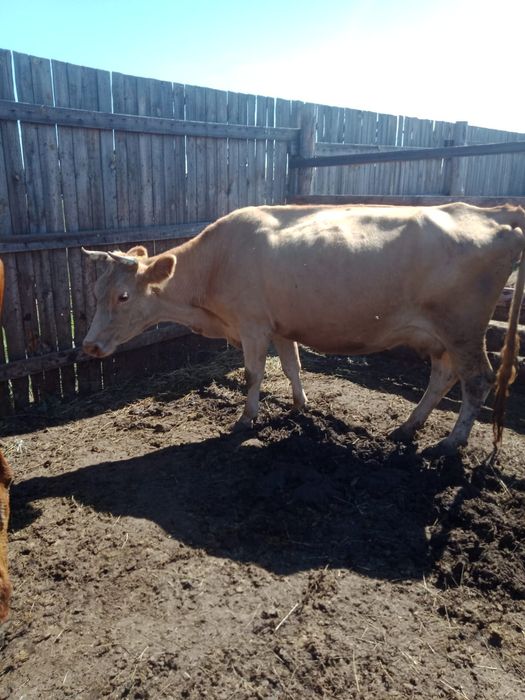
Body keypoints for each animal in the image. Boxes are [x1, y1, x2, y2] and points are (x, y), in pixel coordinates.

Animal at [82, 203, 525, 456]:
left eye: (123, 296)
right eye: (95, 291)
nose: (88, 346)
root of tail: (498, 211)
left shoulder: (253, 325)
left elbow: (253, 375)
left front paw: (246, 419)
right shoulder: (280, 325)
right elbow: (293, 366)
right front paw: (299, 406)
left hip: (463, 328)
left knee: (477, 379)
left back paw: (450, 443)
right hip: (441, 335)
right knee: (444, 376)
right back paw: (406, 427)